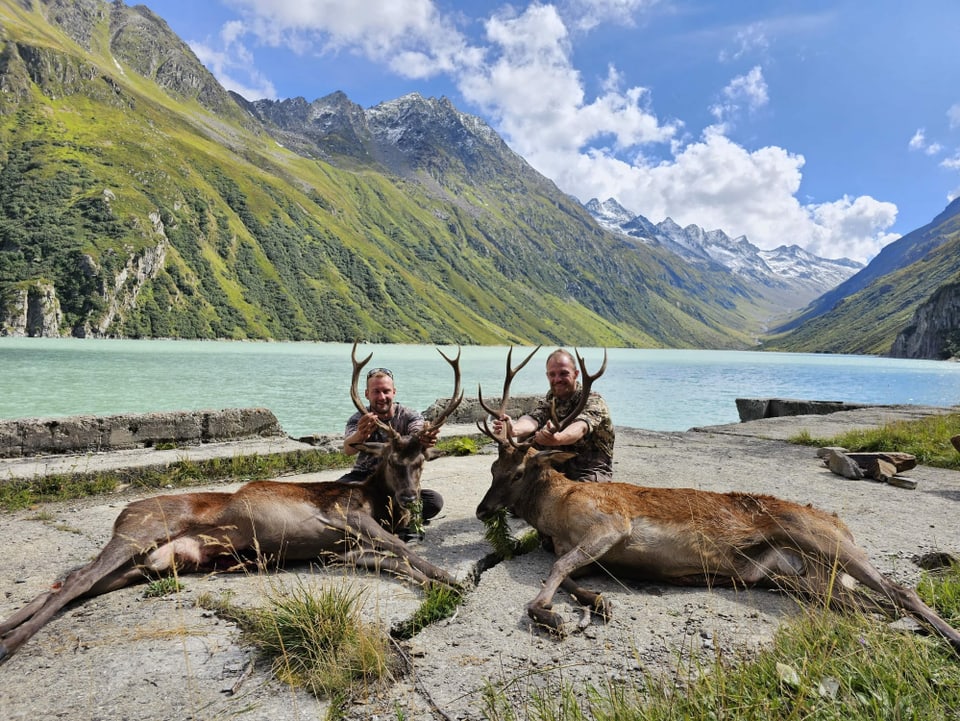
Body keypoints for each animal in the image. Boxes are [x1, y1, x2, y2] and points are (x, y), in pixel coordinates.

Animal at [0, 344, 464, 664]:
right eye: (392, 460)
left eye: (422, 461)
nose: (409, 498)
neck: (375, 500)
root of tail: (121, 512)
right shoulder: (346, 515)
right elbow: (402, 548)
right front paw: (453, 579)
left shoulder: (346, 551)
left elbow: (398, 562)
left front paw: (440, 585)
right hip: (141, 528)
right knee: (77, 578)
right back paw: (10, 642)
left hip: (149, 562)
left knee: (74, 580)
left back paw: (5, 628)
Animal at [476, 348, 960, 652]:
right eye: (491, 470)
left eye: (515, 472)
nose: (482, 510)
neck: (555, 515)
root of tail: (845, 525)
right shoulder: (589, 549)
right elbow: (571, 575)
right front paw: (598, 601)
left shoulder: (612, 523)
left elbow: (558, 569)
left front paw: (551, 615)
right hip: (809, 581)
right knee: (874, 605)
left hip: (823, 540)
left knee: (902, 591)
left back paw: (949, 638)